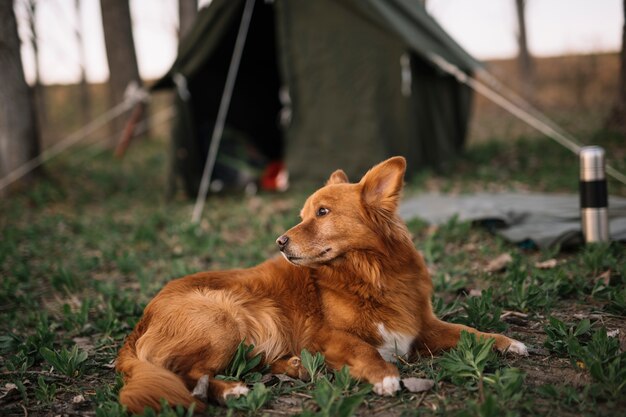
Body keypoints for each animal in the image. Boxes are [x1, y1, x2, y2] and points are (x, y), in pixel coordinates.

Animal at [114, 157, 524, 412]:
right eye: (303, 215)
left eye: (322, 212)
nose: (279, 242)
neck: (369, 273)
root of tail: (143, 318)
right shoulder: (325, 335)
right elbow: (364, 349)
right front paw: (385, 376)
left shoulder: (422, 325)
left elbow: (470, 331)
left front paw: (508, 342)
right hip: (226, 319)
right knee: (185, 376)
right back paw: (232, 389)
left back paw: (290, 368)